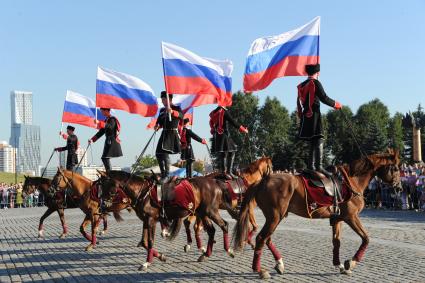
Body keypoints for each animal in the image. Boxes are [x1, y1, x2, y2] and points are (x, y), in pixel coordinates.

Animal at [232, 150, 400, 280]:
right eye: (397, 168)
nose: (399, 188)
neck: (352, 181)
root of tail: (262, 181)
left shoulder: (337, 219)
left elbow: (336, 242)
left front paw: (340, 265)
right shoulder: (351, 217)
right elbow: (366, 238)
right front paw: (351, 262)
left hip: (275, 217)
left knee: (267, 238)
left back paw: (279, 263)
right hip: (274, 217)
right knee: (261, 238)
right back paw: (260, 270)